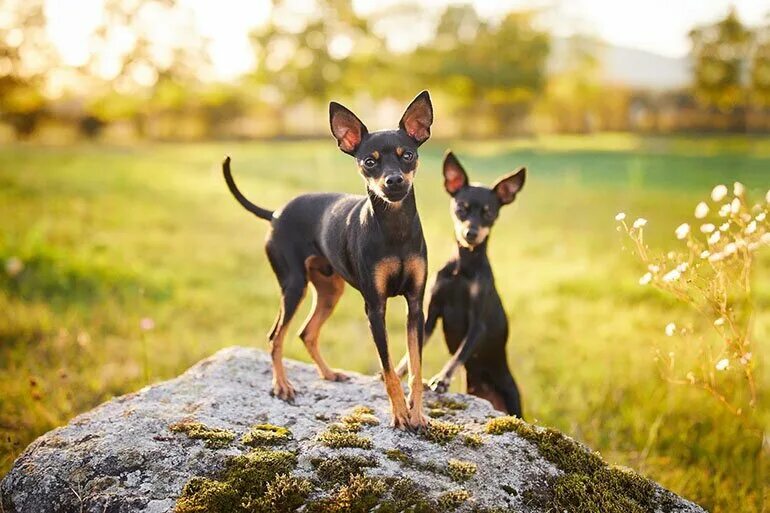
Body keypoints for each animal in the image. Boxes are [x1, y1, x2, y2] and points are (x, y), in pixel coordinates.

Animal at [225, 91, 436, 428]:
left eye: (408, 156)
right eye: (369, 162)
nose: (393, 181)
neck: (395, 229)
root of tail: (276, 214)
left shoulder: (415, 305)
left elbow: (415, 367)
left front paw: (417, 413)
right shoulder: (375, 308)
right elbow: (389, 370)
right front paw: (400, 413)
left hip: (329, 291)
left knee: (306, 333)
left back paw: (328, 374)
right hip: (293, 286)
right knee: (276, 337)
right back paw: (282, 386)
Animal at [396, 151, 520, 416]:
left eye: (489, 214)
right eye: (460, 208)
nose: (470, 233)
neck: (463, 268)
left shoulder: (477, 326)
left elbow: (460, 354)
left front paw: (442, 379)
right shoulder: (430, 316)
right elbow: (412, 352)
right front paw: (399, 373)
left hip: (513, 398)